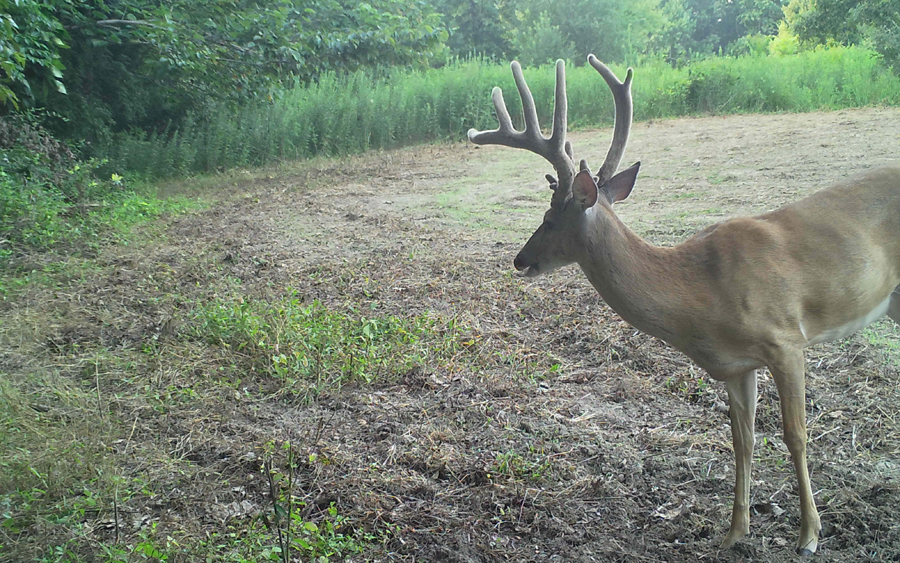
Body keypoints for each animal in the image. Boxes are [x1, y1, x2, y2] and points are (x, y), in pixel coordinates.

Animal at [467, 55, 900, 556]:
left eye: (550, 217)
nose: (520, 259)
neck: (702, 292)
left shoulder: (786, 340)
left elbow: (796, 435)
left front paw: (809, 535)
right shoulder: (736, 365)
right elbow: (743, 440)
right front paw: (734, 533)